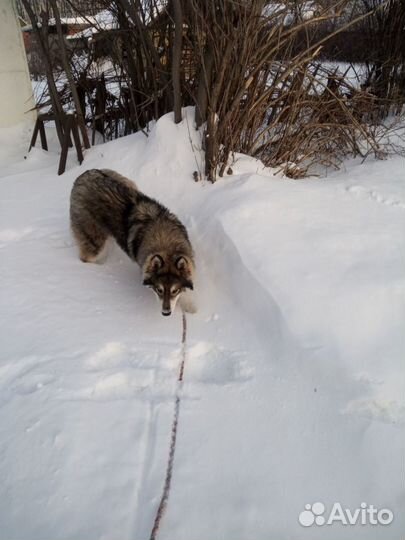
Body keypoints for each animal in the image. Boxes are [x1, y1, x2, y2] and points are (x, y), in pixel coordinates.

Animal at [69, 169, 194, 316]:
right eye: (159, 290)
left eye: (175, 291)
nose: (166, 313)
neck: (165, 243)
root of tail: (83, 175)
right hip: (95, 244)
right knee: (86, 257)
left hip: (128, 182)